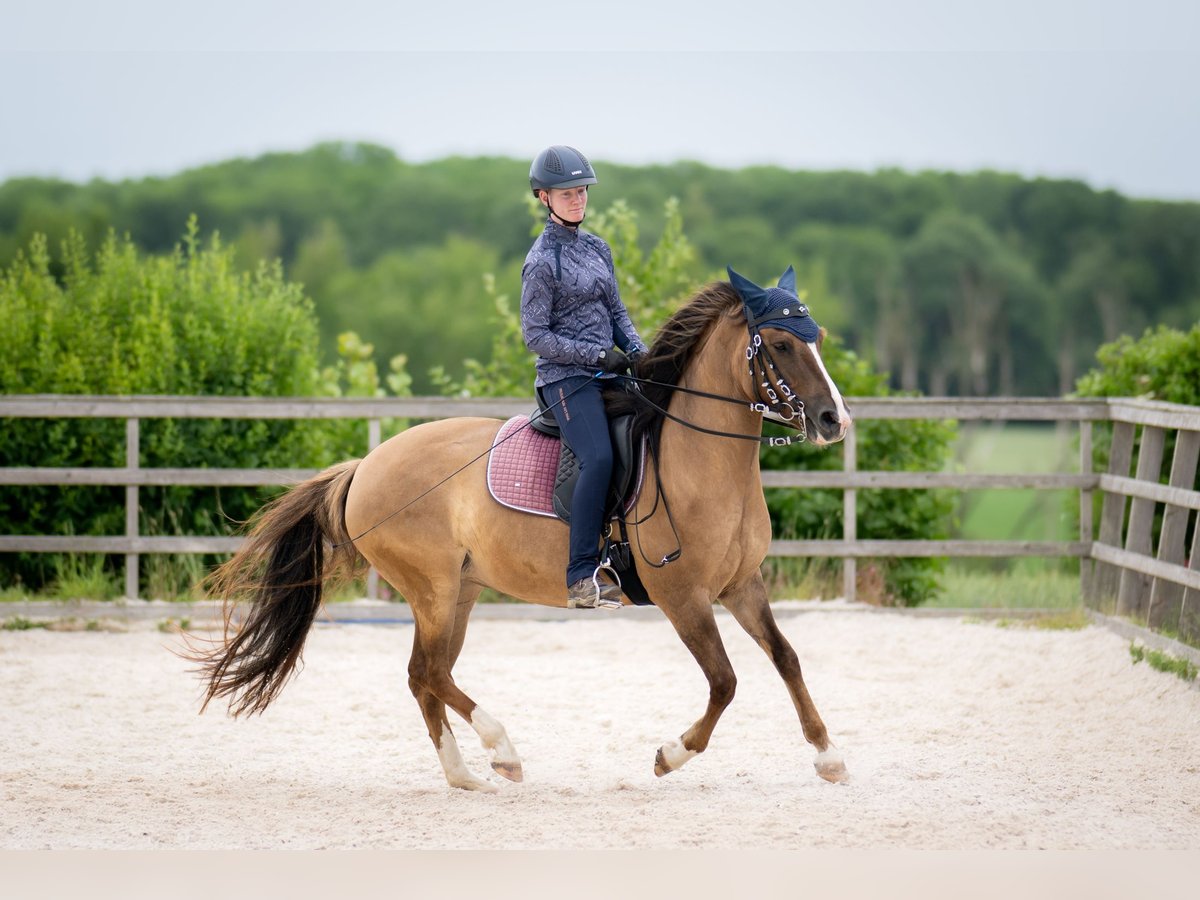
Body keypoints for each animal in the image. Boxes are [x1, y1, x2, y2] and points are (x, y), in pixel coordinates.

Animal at [192, 271, 854, 792]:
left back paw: (465, 775)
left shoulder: (742, 585)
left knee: (424, 676)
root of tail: (366, 467)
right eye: (780, 344)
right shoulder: (683, 596)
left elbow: (787, 658)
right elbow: (725, 682)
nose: (835, 421)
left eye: (817, 339)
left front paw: (829, 757)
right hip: (433, 589)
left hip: (459, 592)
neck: (701, 461)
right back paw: (502, 751)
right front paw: (671, 756)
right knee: (430, 673)